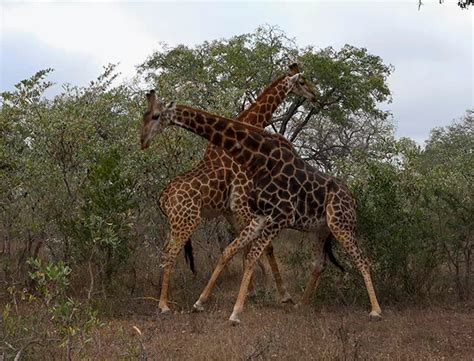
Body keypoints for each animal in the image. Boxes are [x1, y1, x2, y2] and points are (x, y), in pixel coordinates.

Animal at [140, 90, 382, 324]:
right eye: (145, 115)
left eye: (156, 116)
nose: (142, 141)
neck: (259, 158)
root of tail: (352, 198)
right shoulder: (259, 216)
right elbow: (233, 251)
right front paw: (203, 302)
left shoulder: (276, 216)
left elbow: (251, 254)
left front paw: (238, 310)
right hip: (319, 230)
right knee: (319, 264)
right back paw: (302, 304)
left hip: (340, 224)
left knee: (361, 260)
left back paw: (375, 310)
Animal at [156, 64, 318, 312]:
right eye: (302, 82)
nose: (315, 96)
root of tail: (163, 197)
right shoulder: (242, 202)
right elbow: (261, 247)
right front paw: (280, 293)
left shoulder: (229, 209)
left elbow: (242, 246)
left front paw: (252, 291)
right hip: (188, 220)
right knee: (169, 253)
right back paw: (164, 304)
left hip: (174, 222)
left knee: (164, 251)